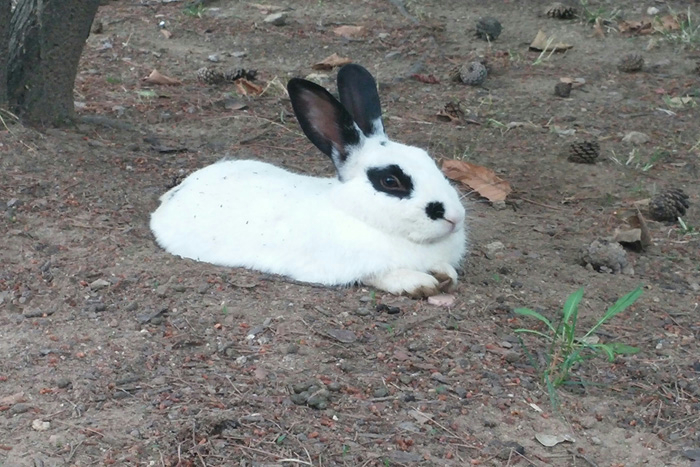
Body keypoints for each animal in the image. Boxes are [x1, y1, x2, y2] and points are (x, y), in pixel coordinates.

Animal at [150, 64, 468, 298]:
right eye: (390, 180)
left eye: (427, 159)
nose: (455, 217)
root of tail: (175, 193)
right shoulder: (356, 266)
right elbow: (384, 274)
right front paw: (420, 283)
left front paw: (445, 276)